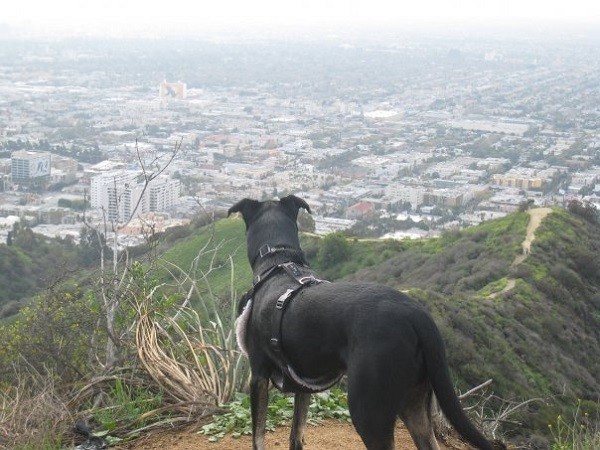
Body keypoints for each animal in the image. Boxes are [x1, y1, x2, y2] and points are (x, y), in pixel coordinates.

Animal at [227, 194, 504, 450]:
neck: (278, 261)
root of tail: (418, 316)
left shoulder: (258, 376)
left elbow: (258, 437)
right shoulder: (303, 385)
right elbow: (296, 435)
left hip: (368, 409)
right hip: (415, 402)